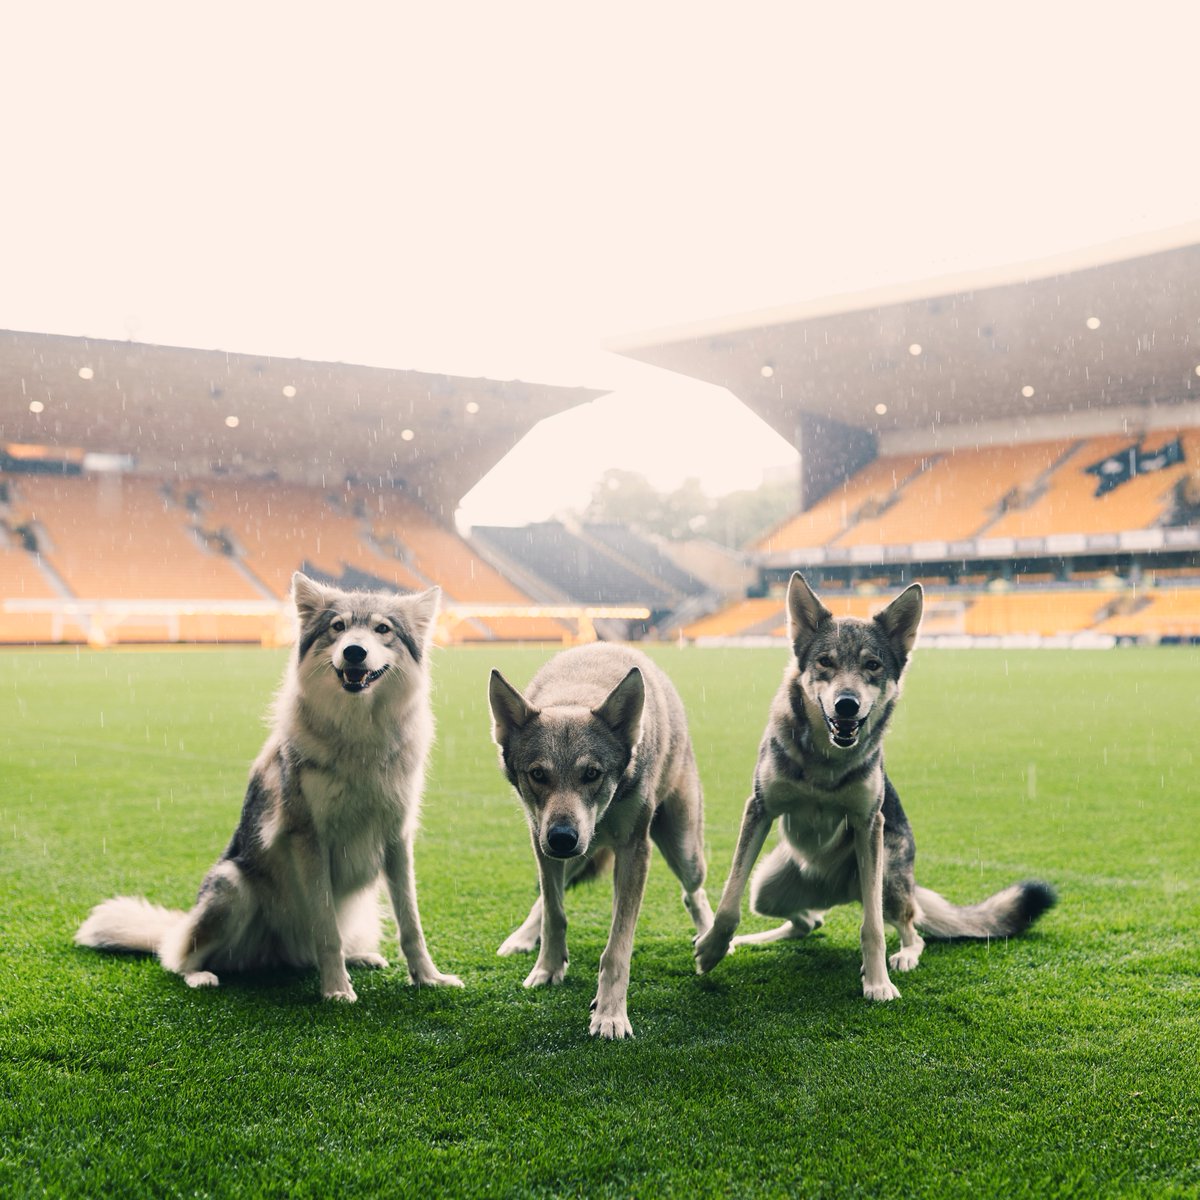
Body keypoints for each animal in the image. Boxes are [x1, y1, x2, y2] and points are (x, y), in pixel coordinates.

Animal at [75, 572, 462, 1001]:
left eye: (383, 629)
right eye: (338, 626)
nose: (354, 652)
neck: (359, 735)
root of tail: (280, 954)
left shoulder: (397, 838)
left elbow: (411, 924)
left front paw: (428, 978)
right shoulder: (309, 839)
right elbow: (327, 931)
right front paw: (336, 991)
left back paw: (361, 956)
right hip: (232, 889)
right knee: (175, 957)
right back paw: (200, 975)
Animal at [488, 643, 712, 1038]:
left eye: (592, 773)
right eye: (538, 774)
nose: (563, 837)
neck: (577, 694)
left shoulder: (635, 851)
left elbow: (617, 948)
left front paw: (610, 1015)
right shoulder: (541, 842)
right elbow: (554, 913)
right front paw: (547, 969)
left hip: (683, 851)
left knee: (694, 893)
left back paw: (711, 943)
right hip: (576, 855)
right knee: (545, 900)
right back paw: (521, 938)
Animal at [693, 572, 1055, 1000]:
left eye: (872, 665)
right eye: (826, 662)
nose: (847, 704)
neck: (825, 762)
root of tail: (832, 891)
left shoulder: (869, 825)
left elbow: (873, 928)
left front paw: (878, 982)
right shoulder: (759, 809)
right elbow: (728, 901)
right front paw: (712, 949)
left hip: (885, 879)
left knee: (910, 930)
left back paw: (903, 957)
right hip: (766, 888)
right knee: (807, 921)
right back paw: (750, 940)